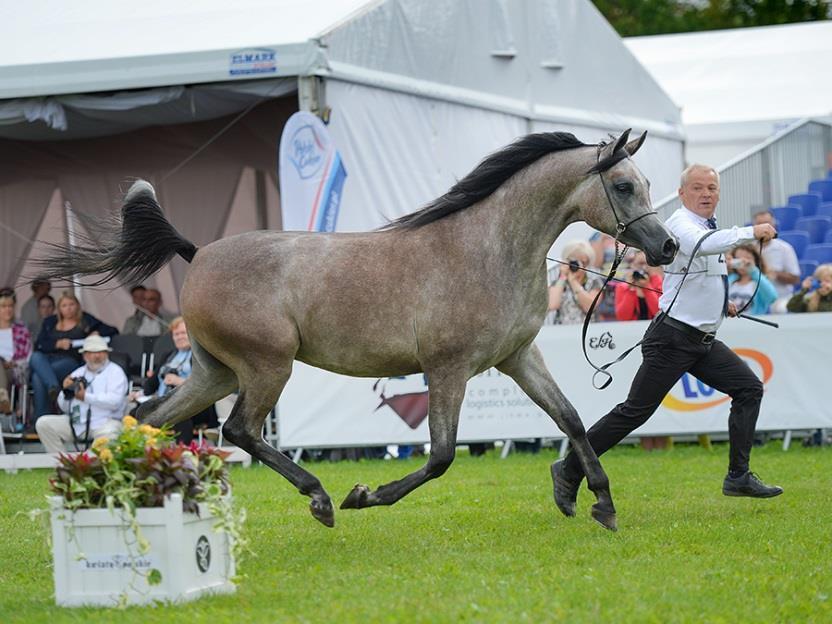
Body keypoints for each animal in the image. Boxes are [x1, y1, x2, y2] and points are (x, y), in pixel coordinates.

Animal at [37, 129, 676, 528]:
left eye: (646, 183)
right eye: (624, 186)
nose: (667, 248)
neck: (486, 249)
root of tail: (198, 255)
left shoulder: (518, 357)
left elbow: (570, 418)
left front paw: (596, 503)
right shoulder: (448, 369)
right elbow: (442, 455)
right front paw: (364, 496)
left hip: (214, 372)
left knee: (150, 419)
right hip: (267, 366)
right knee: (239, 431)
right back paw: (318, 498)